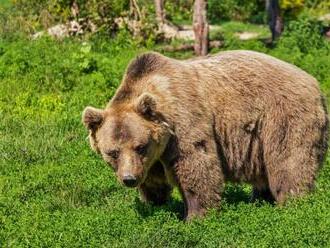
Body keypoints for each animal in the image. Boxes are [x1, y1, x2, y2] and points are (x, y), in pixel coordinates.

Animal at [82, 50, 328, 219]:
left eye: (140, 146)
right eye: (112, 152)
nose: (129, 179)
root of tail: (315, 83)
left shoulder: (183, 123)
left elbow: (196, 165)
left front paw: (196, 216)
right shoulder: (153, 156)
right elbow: (153, 179)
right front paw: (153, 203)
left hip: (283, 117)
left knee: (289, 161)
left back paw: (292, 203)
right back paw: (260, 199)